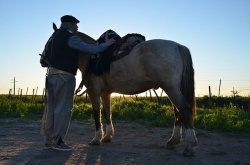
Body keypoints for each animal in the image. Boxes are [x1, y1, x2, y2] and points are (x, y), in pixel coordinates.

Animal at [51, 23, 198, 156]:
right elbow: (107, 113)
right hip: (173, 89)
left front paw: (96, 138)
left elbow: (97, 114)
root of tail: (178, 46)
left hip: (171, 89)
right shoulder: (106, 94)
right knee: (177, 112)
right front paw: (107, 136)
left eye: (52, 39)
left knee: (184, 109)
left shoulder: (94, 93)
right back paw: (172, 141)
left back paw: (189, 146)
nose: (46, 61)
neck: (90, 56)